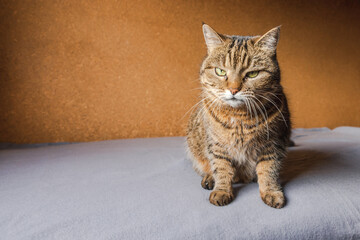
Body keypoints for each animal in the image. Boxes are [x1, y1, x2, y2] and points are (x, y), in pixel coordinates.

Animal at [187, 23, 292, 208]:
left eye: (252, 74)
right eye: (220, 71)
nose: (233, 89)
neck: (239, 118)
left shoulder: (273, 145)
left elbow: (269, 171)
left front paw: (271, 191)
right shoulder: (217, 146)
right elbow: (221, 169)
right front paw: (222, 190)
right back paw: (209, 179)